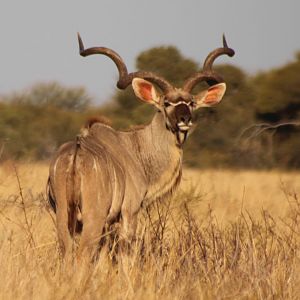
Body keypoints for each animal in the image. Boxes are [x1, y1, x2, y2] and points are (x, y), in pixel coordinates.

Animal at [47, 32, 234, 258]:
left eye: (191, 103)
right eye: (166, 103)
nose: (184, 119)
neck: (135, 146)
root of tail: (75, 158)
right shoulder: (129, 212)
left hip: (64, 218)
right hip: (93, 219)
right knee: (83, 253)